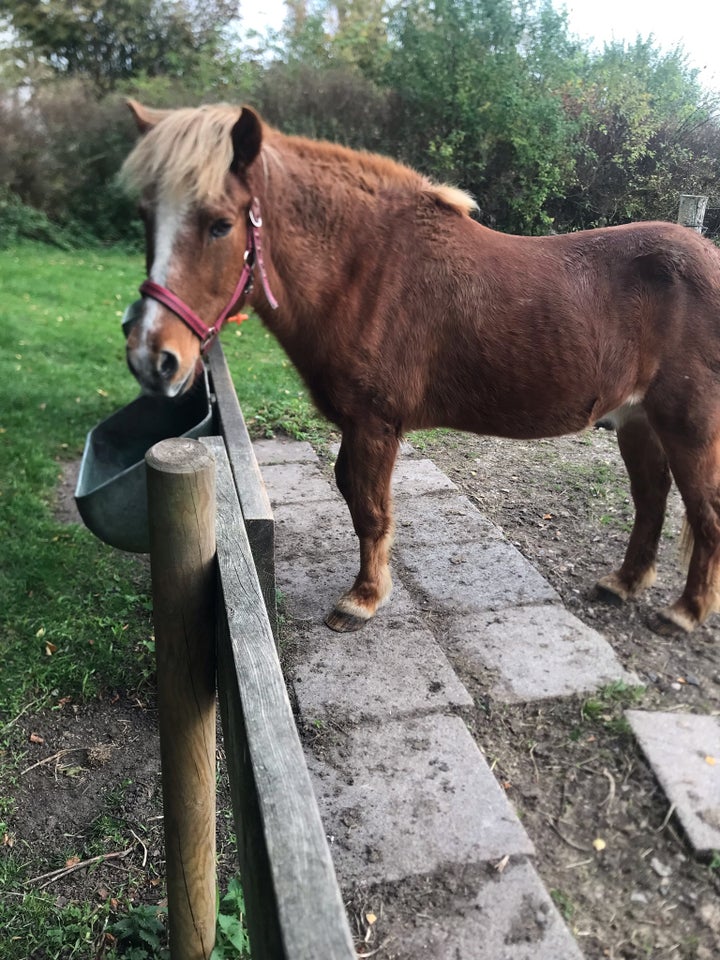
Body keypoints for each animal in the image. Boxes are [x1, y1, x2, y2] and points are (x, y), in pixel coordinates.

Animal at [121, 101, 720, 632]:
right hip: (638, 422)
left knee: (704, 512)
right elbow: (353, 496)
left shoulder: (375, 424)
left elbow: (369, 508)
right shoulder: (359, 425)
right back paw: (625, 583)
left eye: (220, 225)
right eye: (145, 217)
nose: (152, 358)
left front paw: (362, 600)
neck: (364, 270)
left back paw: (684, 614)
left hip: (689, 428)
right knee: (651, 501)